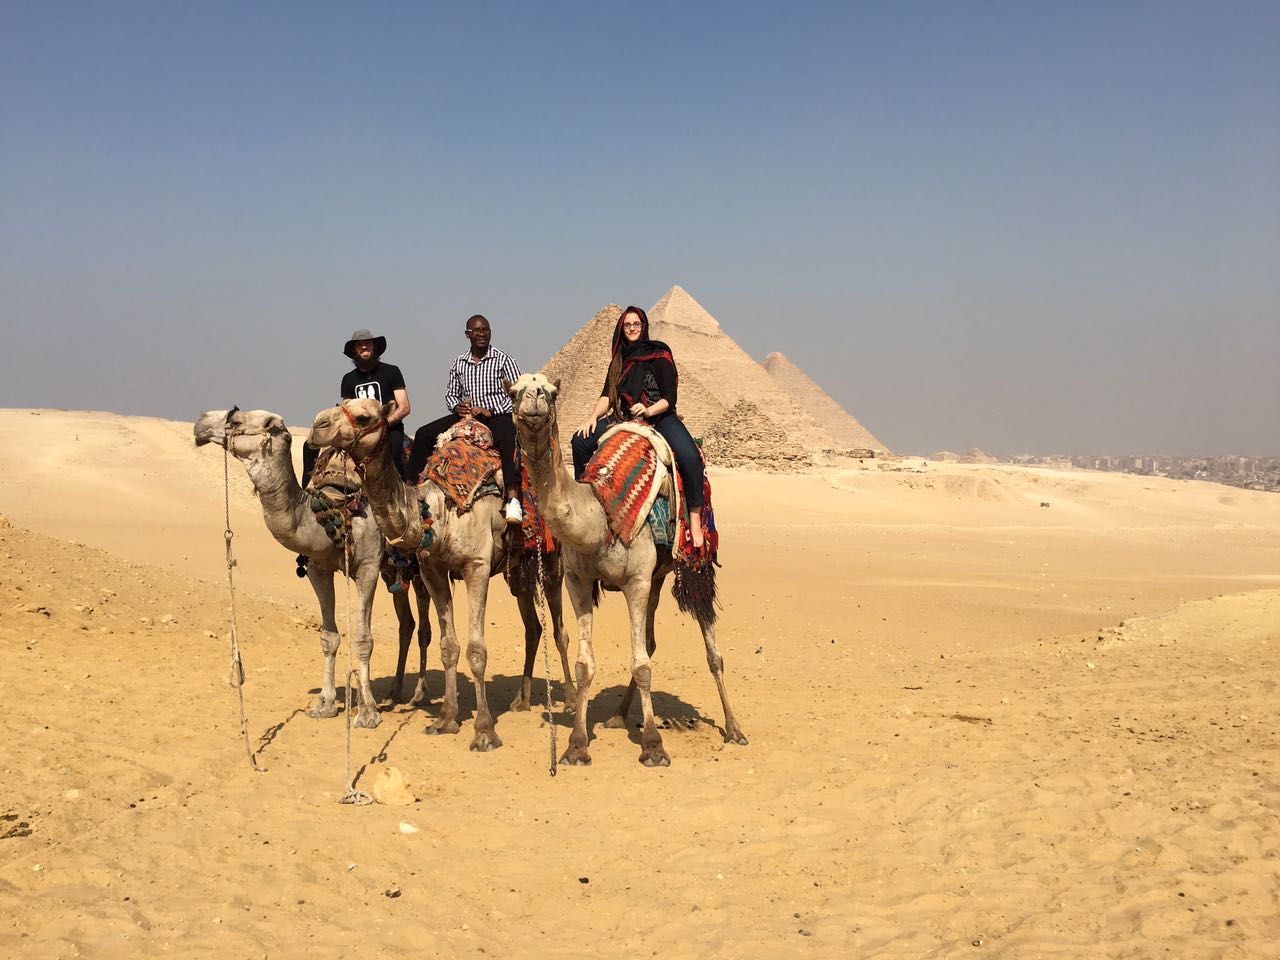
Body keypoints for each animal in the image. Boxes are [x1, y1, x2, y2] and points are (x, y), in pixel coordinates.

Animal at [189, 407, 430, 727]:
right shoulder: (319, 568)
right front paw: (325, 704)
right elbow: (329, 637)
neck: (336, 509)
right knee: (407, 623)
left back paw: (418, 694)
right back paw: (394, 692)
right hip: (392, 571)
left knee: (425, 626)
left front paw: (367, 712)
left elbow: (363, 639)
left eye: (237, 420)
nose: (200, 422)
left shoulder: (367, 566)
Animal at [307, 399, 573, 752]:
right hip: (518, 571)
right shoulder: (432, 569)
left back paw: (569, 701)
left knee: (559, 631)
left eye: (364, 416)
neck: (440, 508)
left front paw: (484, 731)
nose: (317, 425)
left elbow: (476, 651)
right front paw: (446, 719)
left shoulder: (477, 566)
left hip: (554, 560)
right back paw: (522, 700)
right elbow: (449, 646)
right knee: (533, 627)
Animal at [504, 371, 747, 773]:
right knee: (649, 640)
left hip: (694, 564)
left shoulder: (635, 580)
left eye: (552, 392)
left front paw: (653, 747)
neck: (599, 515)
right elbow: (587, 664)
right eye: (513, 391)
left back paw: (734, 728)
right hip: (658, 577)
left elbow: (642, 666)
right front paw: (576, 745)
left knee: (712, 649)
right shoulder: (578, 580)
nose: (534, 400)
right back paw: (618, 715)